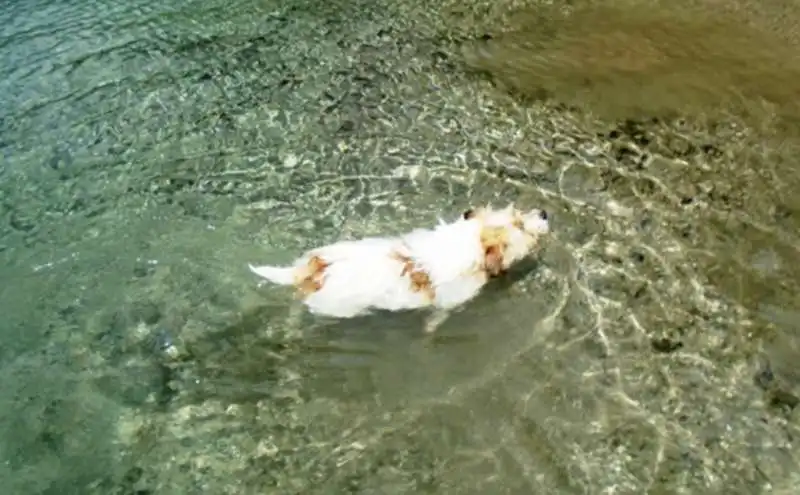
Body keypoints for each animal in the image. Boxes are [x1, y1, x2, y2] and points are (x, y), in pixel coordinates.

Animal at [250, 202, 552, 334]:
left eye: (517, 213)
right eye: (521, 226)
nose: (545, 213)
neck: (469, 240)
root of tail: (316, 266)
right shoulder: (450, 303)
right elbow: (437, 319)